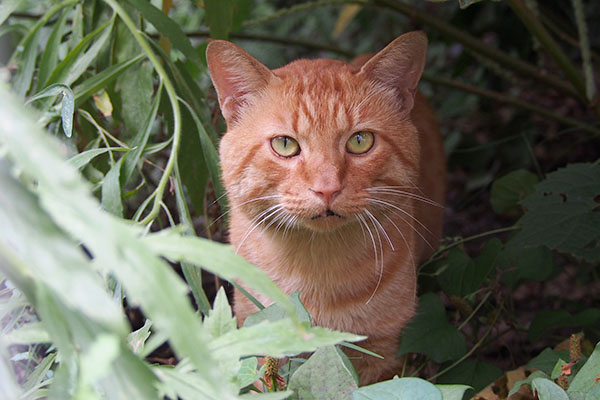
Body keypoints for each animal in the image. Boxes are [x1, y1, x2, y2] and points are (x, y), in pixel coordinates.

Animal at [206, 32, 446, 384]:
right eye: (285, 144)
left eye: (360, 141)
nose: (327, 188)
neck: (315, 269)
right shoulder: (261, 343)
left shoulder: (384, 352)